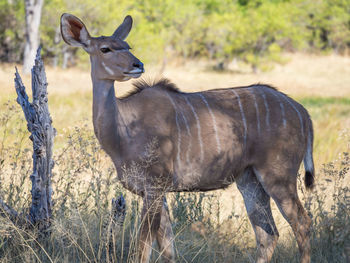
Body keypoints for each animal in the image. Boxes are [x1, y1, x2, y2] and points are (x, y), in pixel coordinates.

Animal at [60, 13, 314, 263]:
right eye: (105, 49)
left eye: (127, 46)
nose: (137, 64)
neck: (123, 133)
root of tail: (303, 112)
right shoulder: (155, 192)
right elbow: (168, 249)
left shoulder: (154, 186)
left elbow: (143, 248)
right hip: (250, 180)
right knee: (268, 234)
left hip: (278, 176)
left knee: (302, 222)